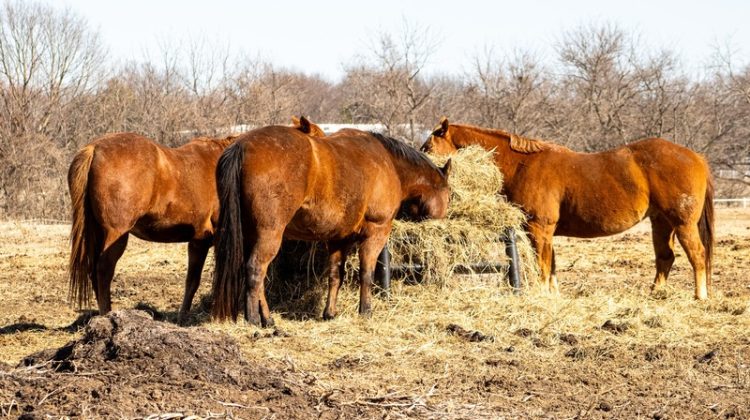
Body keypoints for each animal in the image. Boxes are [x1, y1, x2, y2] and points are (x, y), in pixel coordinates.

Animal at [68, 116, 326, 322]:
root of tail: (94, 148)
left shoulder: (199, 241)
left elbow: (192, 282)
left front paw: (183, 317)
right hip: (115, 235)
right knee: (103, 272)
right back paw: (107, 315)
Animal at [211, 125, 452, 326]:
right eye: (449, 194)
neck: (389, 163)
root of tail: (242, 145)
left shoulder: (338, 239)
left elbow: (336, 275)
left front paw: (330, 312)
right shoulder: (376, 232)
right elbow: (366, 273)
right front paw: (366, 310)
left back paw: (267, 319)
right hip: (269, 235)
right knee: (255, 270)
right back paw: (254, 319)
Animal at [421, 117, 714, 300]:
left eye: (429, 145)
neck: (523, 165)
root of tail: (696, 157)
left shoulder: (540, 228)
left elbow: (542, 264)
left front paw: (542, 293)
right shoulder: (543, 232)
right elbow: (551, 265)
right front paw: (553, 294)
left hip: (683, 223)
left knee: (698, 256)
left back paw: (700, 295)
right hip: (661, 222)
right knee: (665, 257)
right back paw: (656, 294)